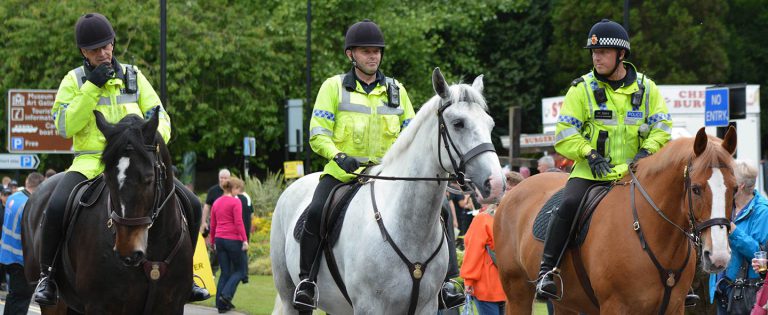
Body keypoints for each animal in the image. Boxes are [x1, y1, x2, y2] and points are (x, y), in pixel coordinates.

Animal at [22, 109, 192, 315]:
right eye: (108, 178)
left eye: (149, 178)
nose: (127, 250)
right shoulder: (100, 306)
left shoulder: (172, 306)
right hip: (55, 303)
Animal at [270, 68, 504, 314]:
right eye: (458, 123)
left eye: (490, 124)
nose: (496, 183)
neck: (407, 226)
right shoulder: (369, 307)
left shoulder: (426, 306)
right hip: (289, 295)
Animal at [492, 127, 736, 314]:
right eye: (695, 189)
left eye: (735, 188)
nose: (718, 257)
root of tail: (511, 194)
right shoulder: (615, 306)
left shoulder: (674, 307)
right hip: (517, 293)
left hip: (566, 303)